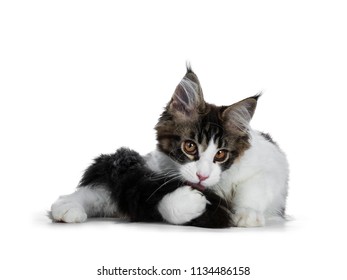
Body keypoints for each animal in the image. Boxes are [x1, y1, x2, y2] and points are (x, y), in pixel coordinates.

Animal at [50, 65, 290, 228]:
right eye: (190, 147)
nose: (202, 176)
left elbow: (254, 187)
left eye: (221, 154)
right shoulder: (150, 176)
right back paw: (66, 207)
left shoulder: (271, 165)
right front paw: (188, 202)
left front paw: (247, 214)